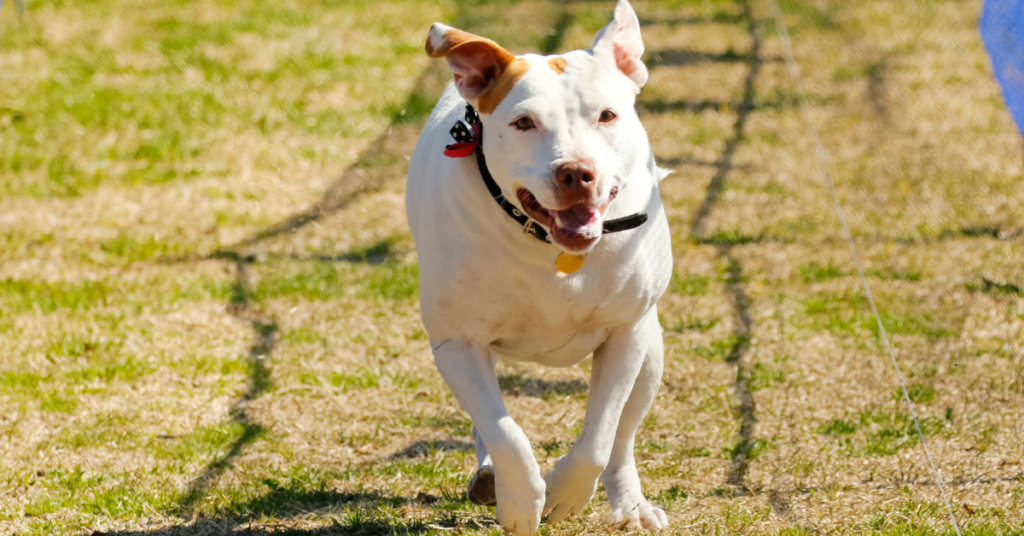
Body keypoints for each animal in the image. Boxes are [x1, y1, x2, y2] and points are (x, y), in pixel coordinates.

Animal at [403, 2, 675, 532]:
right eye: (524, 123)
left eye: (607, 115)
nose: (576, 173)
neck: (552, 247)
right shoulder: (457, 343)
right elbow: (505, 433)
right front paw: (522, 502)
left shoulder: (626, 333)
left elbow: (600, 436)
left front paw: (565, 495)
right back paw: (492, 477)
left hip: (650, 350)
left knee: (622, 438)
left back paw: (630, 505)